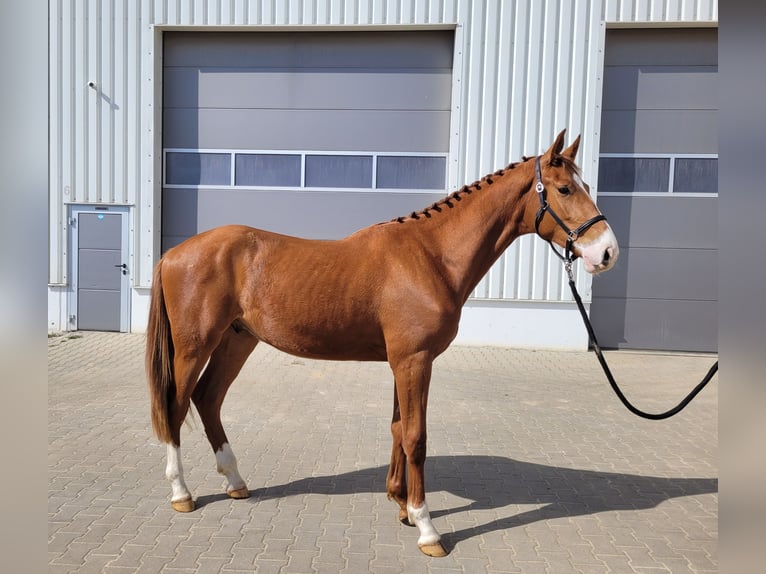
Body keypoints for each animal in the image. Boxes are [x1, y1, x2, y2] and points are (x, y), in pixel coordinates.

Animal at [147, 130, 620, 560]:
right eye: (564, 188)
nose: (607, 252)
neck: (431, 256)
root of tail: (173, 254)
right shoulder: (414, 361)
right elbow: (416, 437)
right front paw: (427, 528)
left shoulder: (404, 362)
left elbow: (397, 428)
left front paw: (401, 504)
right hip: (194, 347)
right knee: (175, 406)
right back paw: (181, 493)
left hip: (236, 341)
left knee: (208, 399)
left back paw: (235, 482)